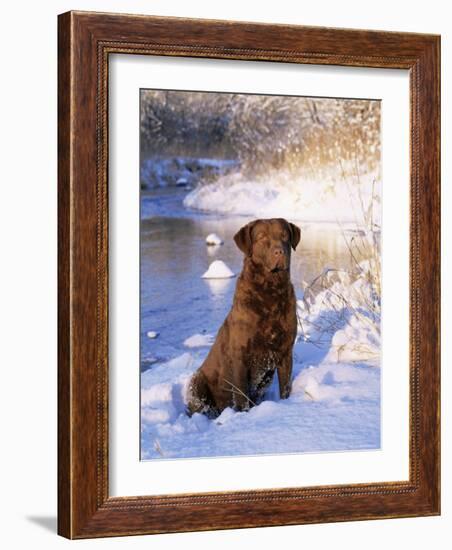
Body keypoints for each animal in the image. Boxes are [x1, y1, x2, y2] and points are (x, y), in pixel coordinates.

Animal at [186, 219, 300, 418]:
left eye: (285, 235)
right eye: (261, 237)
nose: (279, 252)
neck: (271, 293)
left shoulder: (286, 352)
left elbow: (285, 388)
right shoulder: (240, 356)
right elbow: (241, 395)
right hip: (196, 382)